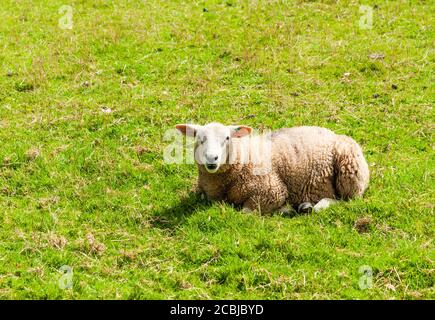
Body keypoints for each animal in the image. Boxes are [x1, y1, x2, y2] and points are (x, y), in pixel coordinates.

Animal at [175, 122, 370, 215]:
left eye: (227, 138)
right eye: (199, 138)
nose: (211, 159)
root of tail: (332, 133)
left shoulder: (271, 191)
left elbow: (246, 212)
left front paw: (285, 209)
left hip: (350, 170)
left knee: (346, 199)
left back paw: (314, 206)